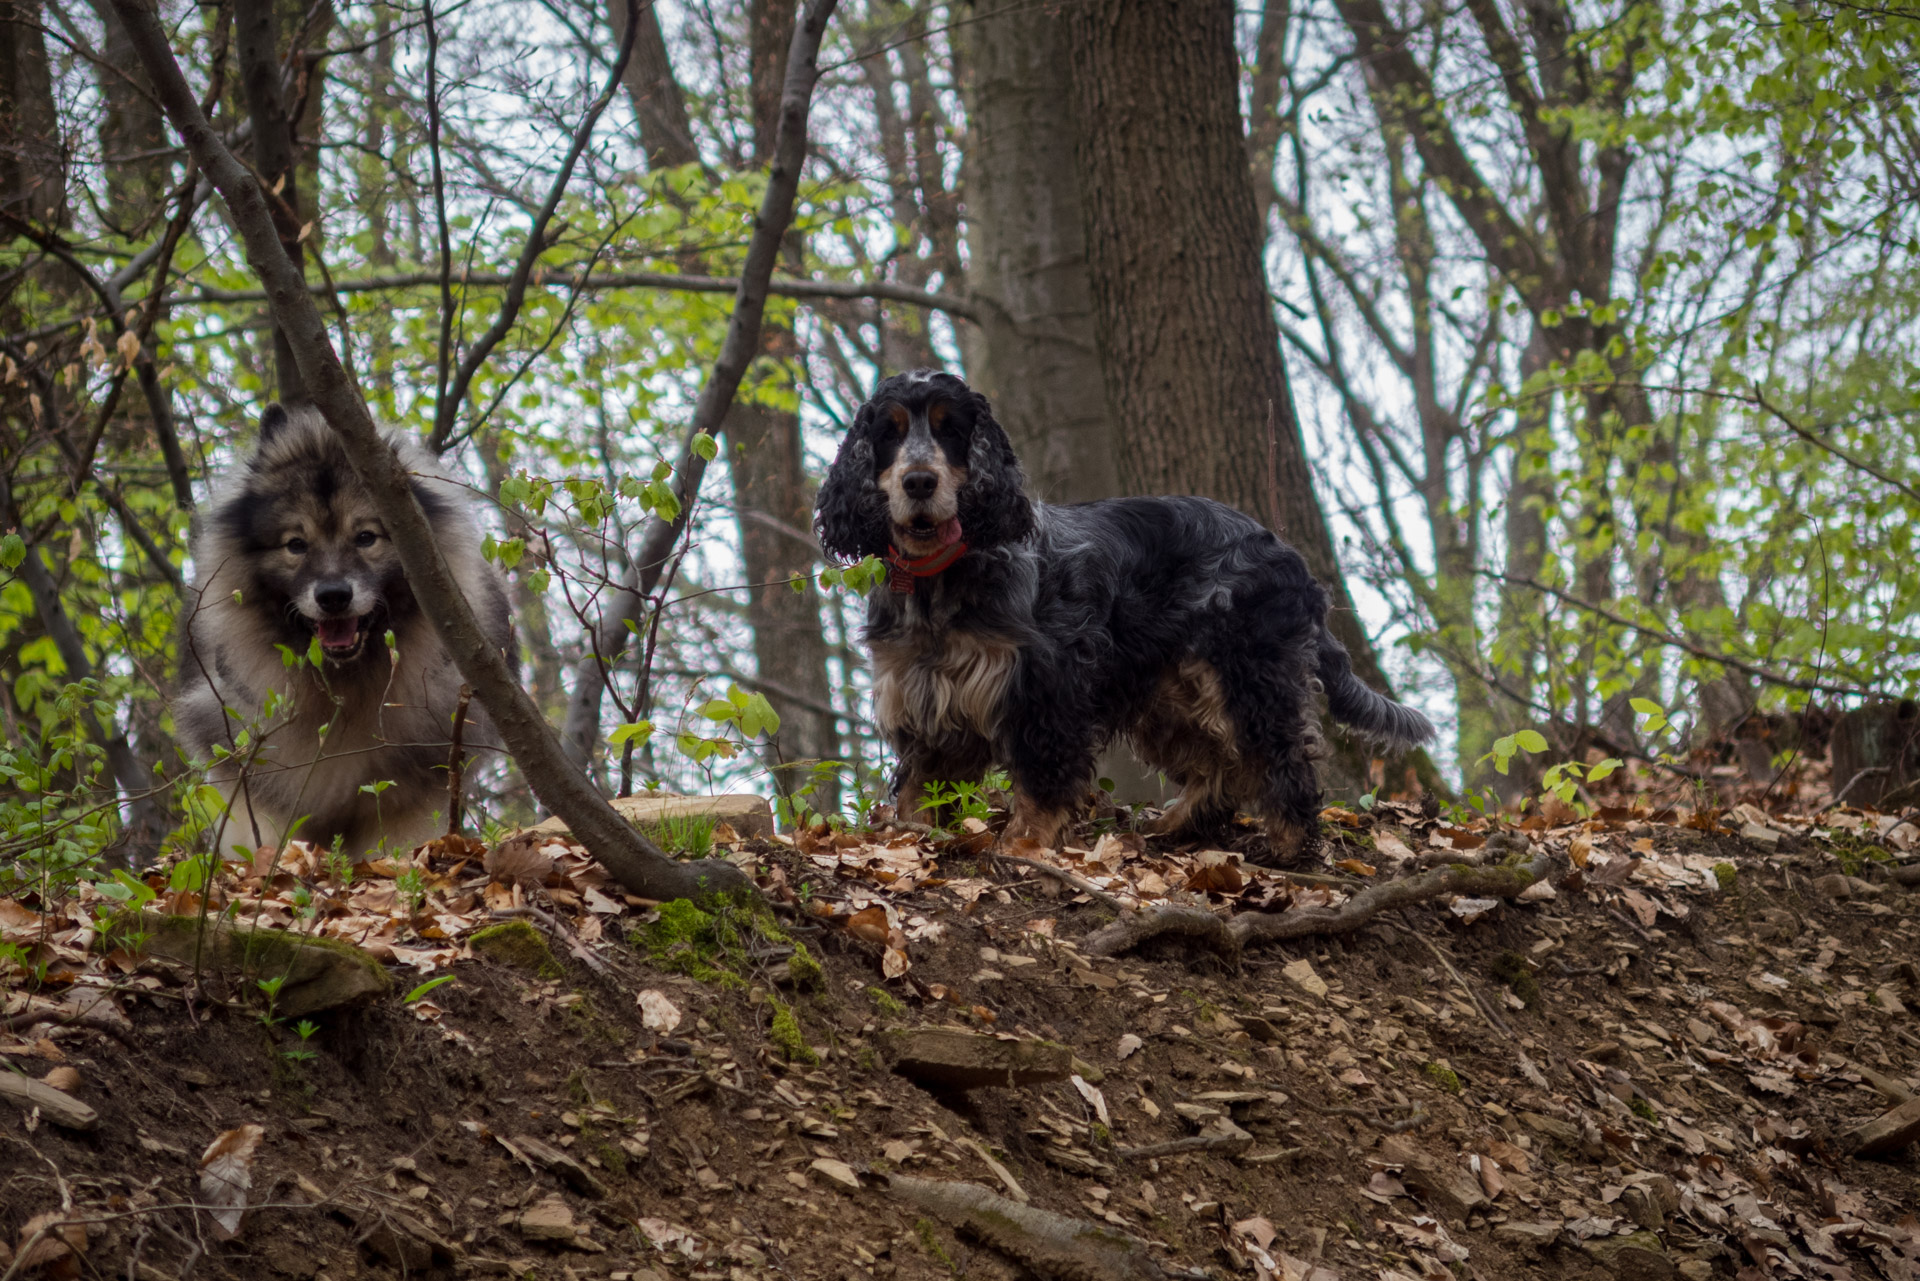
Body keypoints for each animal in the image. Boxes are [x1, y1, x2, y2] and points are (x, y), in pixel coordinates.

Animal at [173, 405, 514, 856]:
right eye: (296, 545)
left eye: (366, 537)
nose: (333, 596)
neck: (346, 684)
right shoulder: (264, 786)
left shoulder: (411, 791)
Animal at [817, 370, 1436, 860]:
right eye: (890, 432)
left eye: (951, 429)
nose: (919, 481)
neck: (939, 579)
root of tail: (1288, 555)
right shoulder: (923, 694)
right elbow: (921, 784)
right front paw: (910, 840)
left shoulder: (1043, 685)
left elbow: (1041, 777)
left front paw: (1024, 844)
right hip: (1169, 692)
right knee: (1220, 764)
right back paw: (1177, 823)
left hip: (1248, 673)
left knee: (1282, 757)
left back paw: (1287, 846)